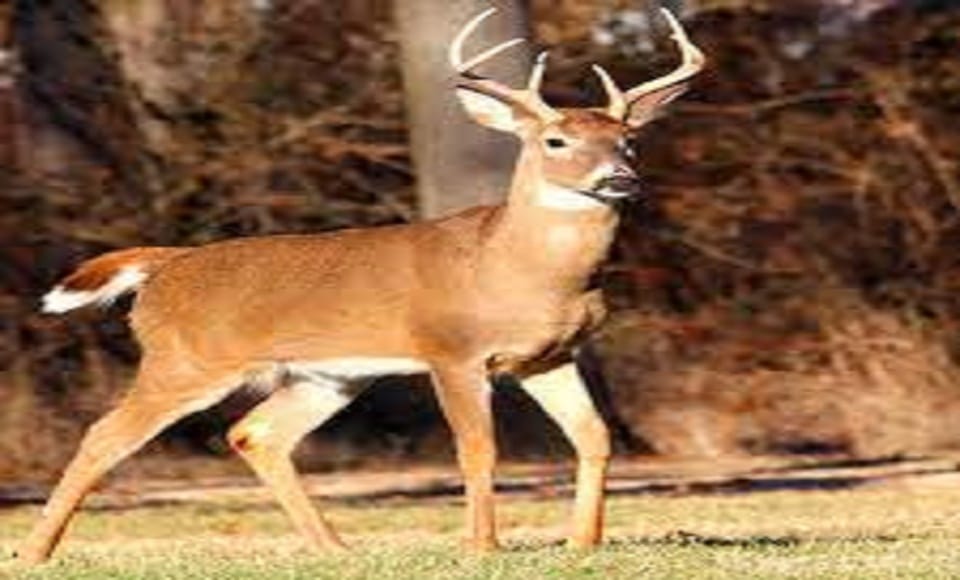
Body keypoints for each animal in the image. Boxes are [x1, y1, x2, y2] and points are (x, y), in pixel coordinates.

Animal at [18, 7, 704, 564]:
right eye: (555, 140)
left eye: (629, 140)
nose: (619, 179)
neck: (520, 270)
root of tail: (165, 266)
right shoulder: (452, 351)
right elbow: (477, 448)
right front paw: (482, 546)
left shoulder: (549, 356)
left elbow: (593, 437)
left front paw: (581, 542)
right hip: (186, 360)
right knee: (103, 435)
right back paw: (35, 553)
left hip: (326, 376)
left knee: (257, 433)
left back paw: (335, 548)